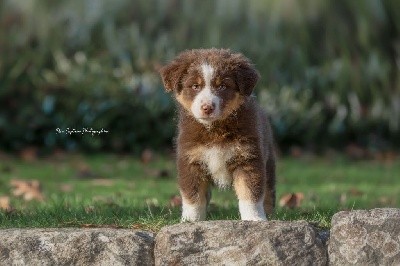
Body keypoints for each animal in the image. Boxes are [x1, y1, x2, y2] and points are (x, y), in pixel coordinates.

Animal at [159, 48, 276, 221]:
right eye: (195, 86)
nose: (207, 107)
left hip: (268, 161)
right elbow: (193, 197)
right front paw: (191, 220)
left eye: (222, 86)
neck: (215, 130)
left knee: (268, 190)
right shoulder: (191, 160)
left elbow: (250, 193)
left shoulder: (248, 158)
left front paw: (254, 219)